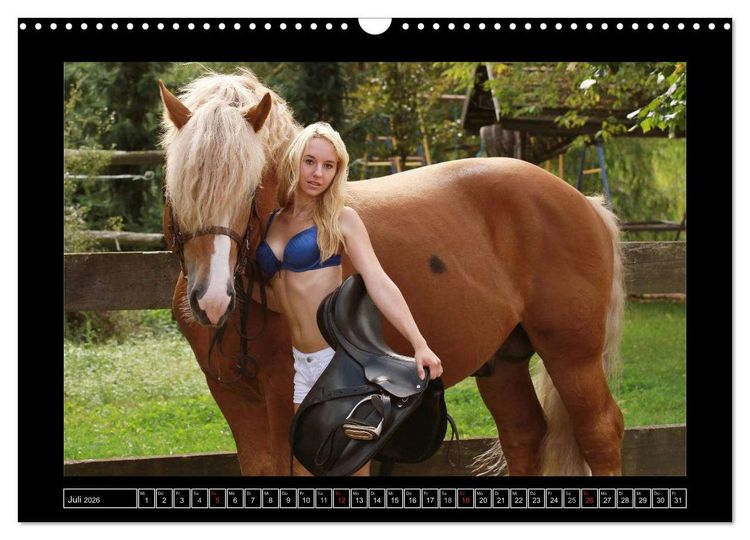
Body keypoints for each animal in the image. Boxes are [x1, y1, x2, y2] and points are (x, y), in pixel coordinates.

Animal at [158, 69, 625, 476]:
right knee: (524, 434)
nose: (212, 299)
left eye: (251, 190)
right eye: (177, 186)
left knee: (600, 433)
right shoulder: (234, 397)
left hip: (572, 357)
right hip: (502, 362)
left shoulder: (283, 393)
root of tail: (582, 201)